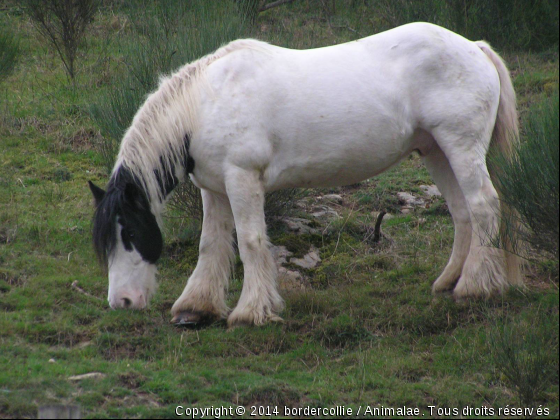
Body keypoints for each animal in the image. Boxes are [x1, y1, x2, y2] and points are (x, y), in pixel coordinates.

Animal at [89, 23, 524, 328]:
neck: (204, 104)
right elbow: (211, 245)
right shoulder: (214, 189)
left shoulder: (242, 179)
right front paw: (196, 309)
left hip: (461, 147)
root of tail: (475, 47)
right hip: (436, 151)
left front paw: (251, 312)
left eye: (129, 232)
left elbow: (250, 242)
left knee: (483, 206)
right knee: (463, 214)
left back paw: (475, 287)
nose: (121, 302)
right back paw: (448, 283)